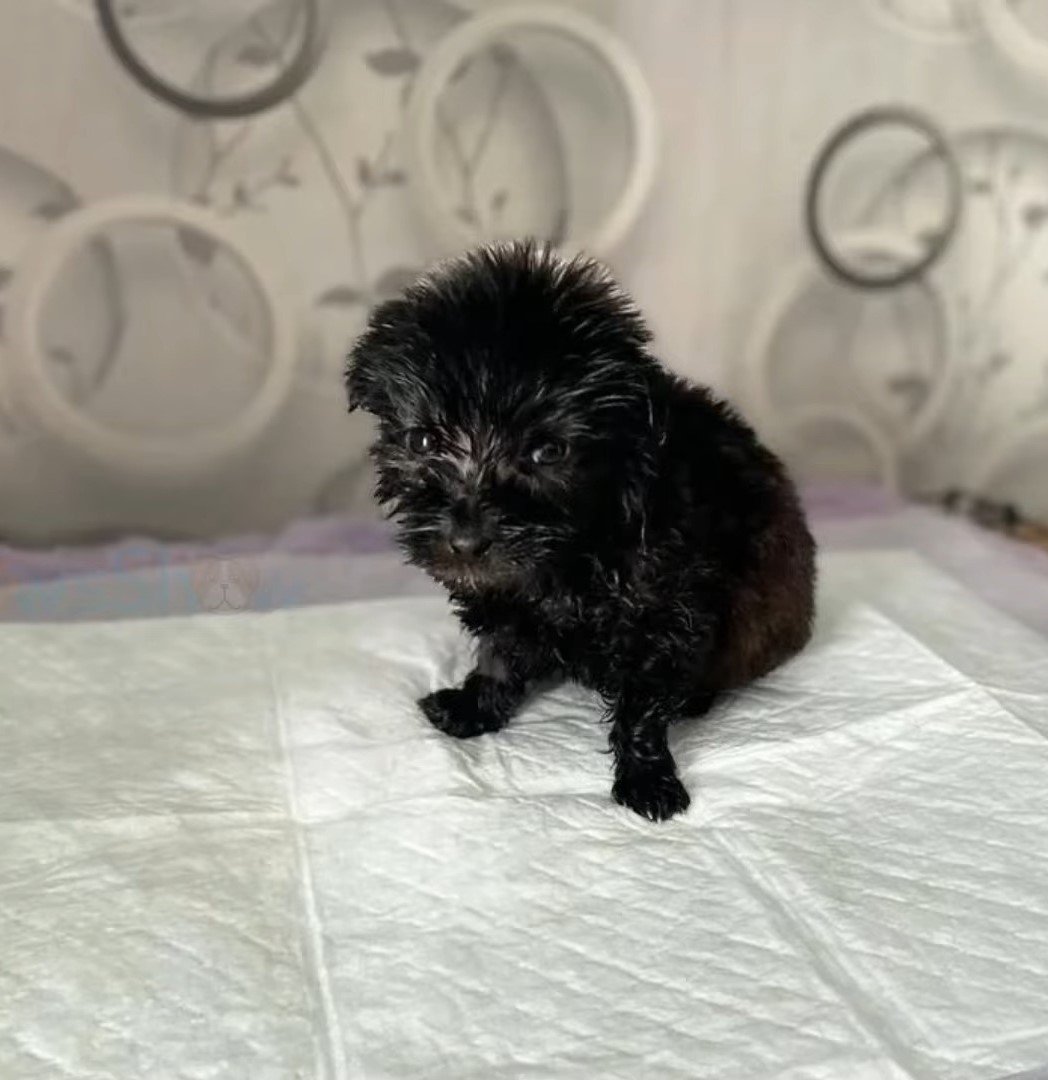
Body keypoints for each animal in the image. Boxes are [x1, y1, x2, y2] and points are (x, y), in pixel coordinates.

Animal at [347, 243, 812, 816]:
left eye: (548, 452)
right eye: (425, 442)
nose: (466, 544)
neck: (571, 555)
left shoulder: (665, 608)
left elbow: (640, 706)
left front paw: (648, 778)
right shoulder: (507, 599)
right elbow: (498, 655)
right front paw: (475, 707)